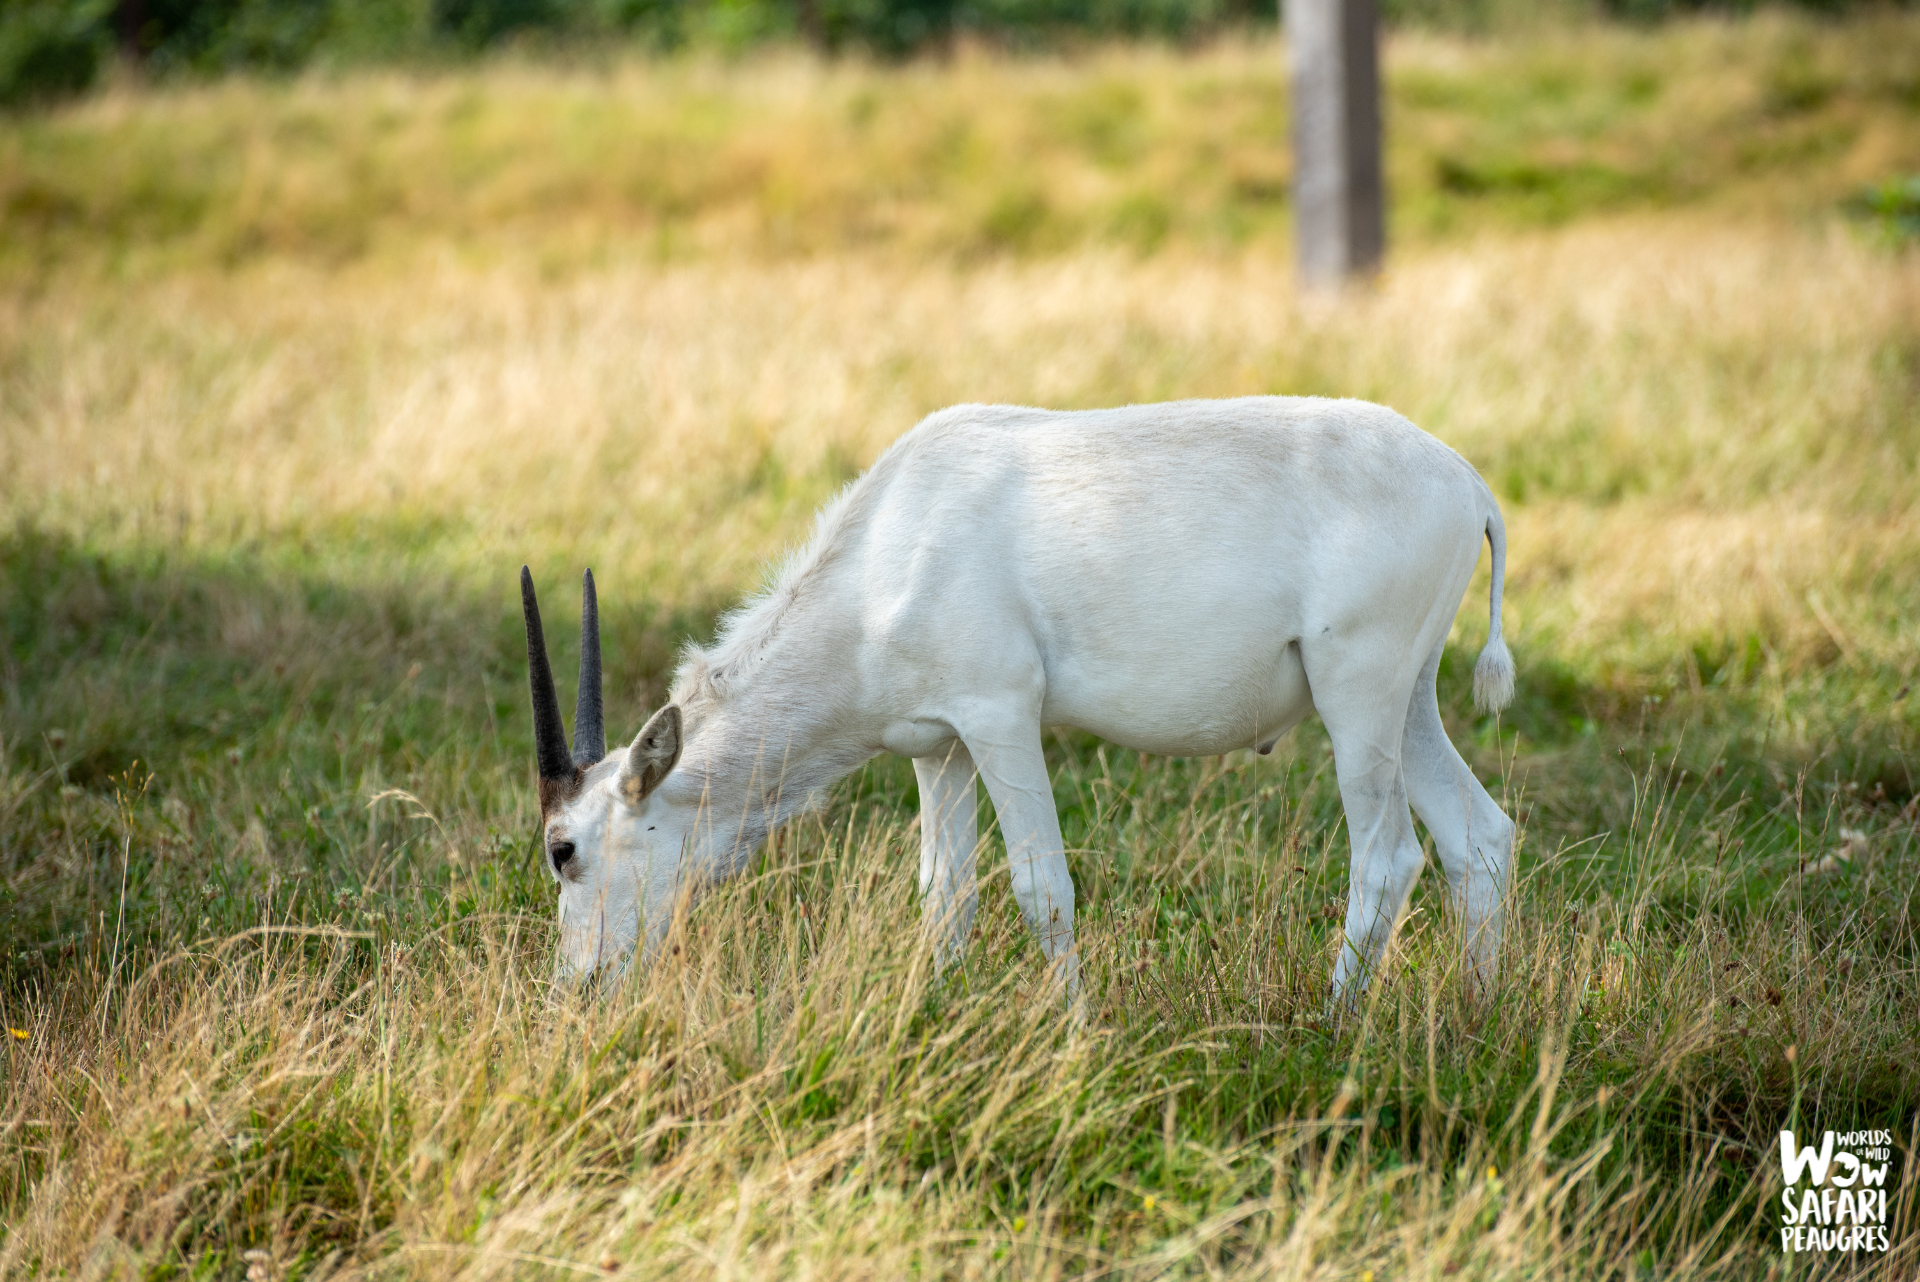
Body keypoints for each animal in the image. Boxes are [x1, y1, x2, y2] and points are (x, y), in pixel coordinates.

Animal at [522, 397, 1512, 997]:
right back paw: (1476, 1016)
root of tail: (1472, 485)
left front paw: (1078, 1036)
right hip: (1408, 702)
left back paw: (1336, 1028)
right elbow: (945, 895)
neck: (887, 551)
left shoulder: (1000, 718)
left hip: (1358, 698)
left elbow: (1042, 887)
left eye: (564, 850)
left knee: (1389, 856)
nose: (575, 988)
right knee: (1480, 837)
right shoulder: (939, 747)